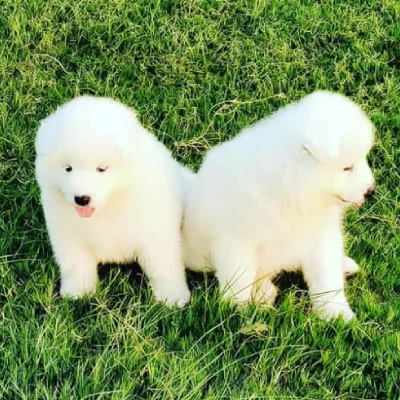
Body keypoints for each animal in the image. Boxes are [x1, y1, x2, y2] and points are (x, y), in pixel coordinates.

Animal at [35, 96, 191, 306]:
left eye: (101, 169)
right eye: (68, 168)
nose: (81, 199)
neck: (109, 206)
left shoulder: (155, 232)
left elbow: (163, 265)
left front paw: (173, 297)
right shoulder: (68, 236)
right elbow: (76, 264)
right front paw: (78, 292)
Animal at [183, 89, 376, 320]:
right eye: (347, 168)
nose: (370, 191)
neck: (291, 187)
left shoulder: (320, 236)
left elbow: (326, 276)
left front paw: (337, 314)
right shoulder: (235, 240)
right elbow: (239, 277)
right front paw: (235, 311)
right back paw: (263, 294)